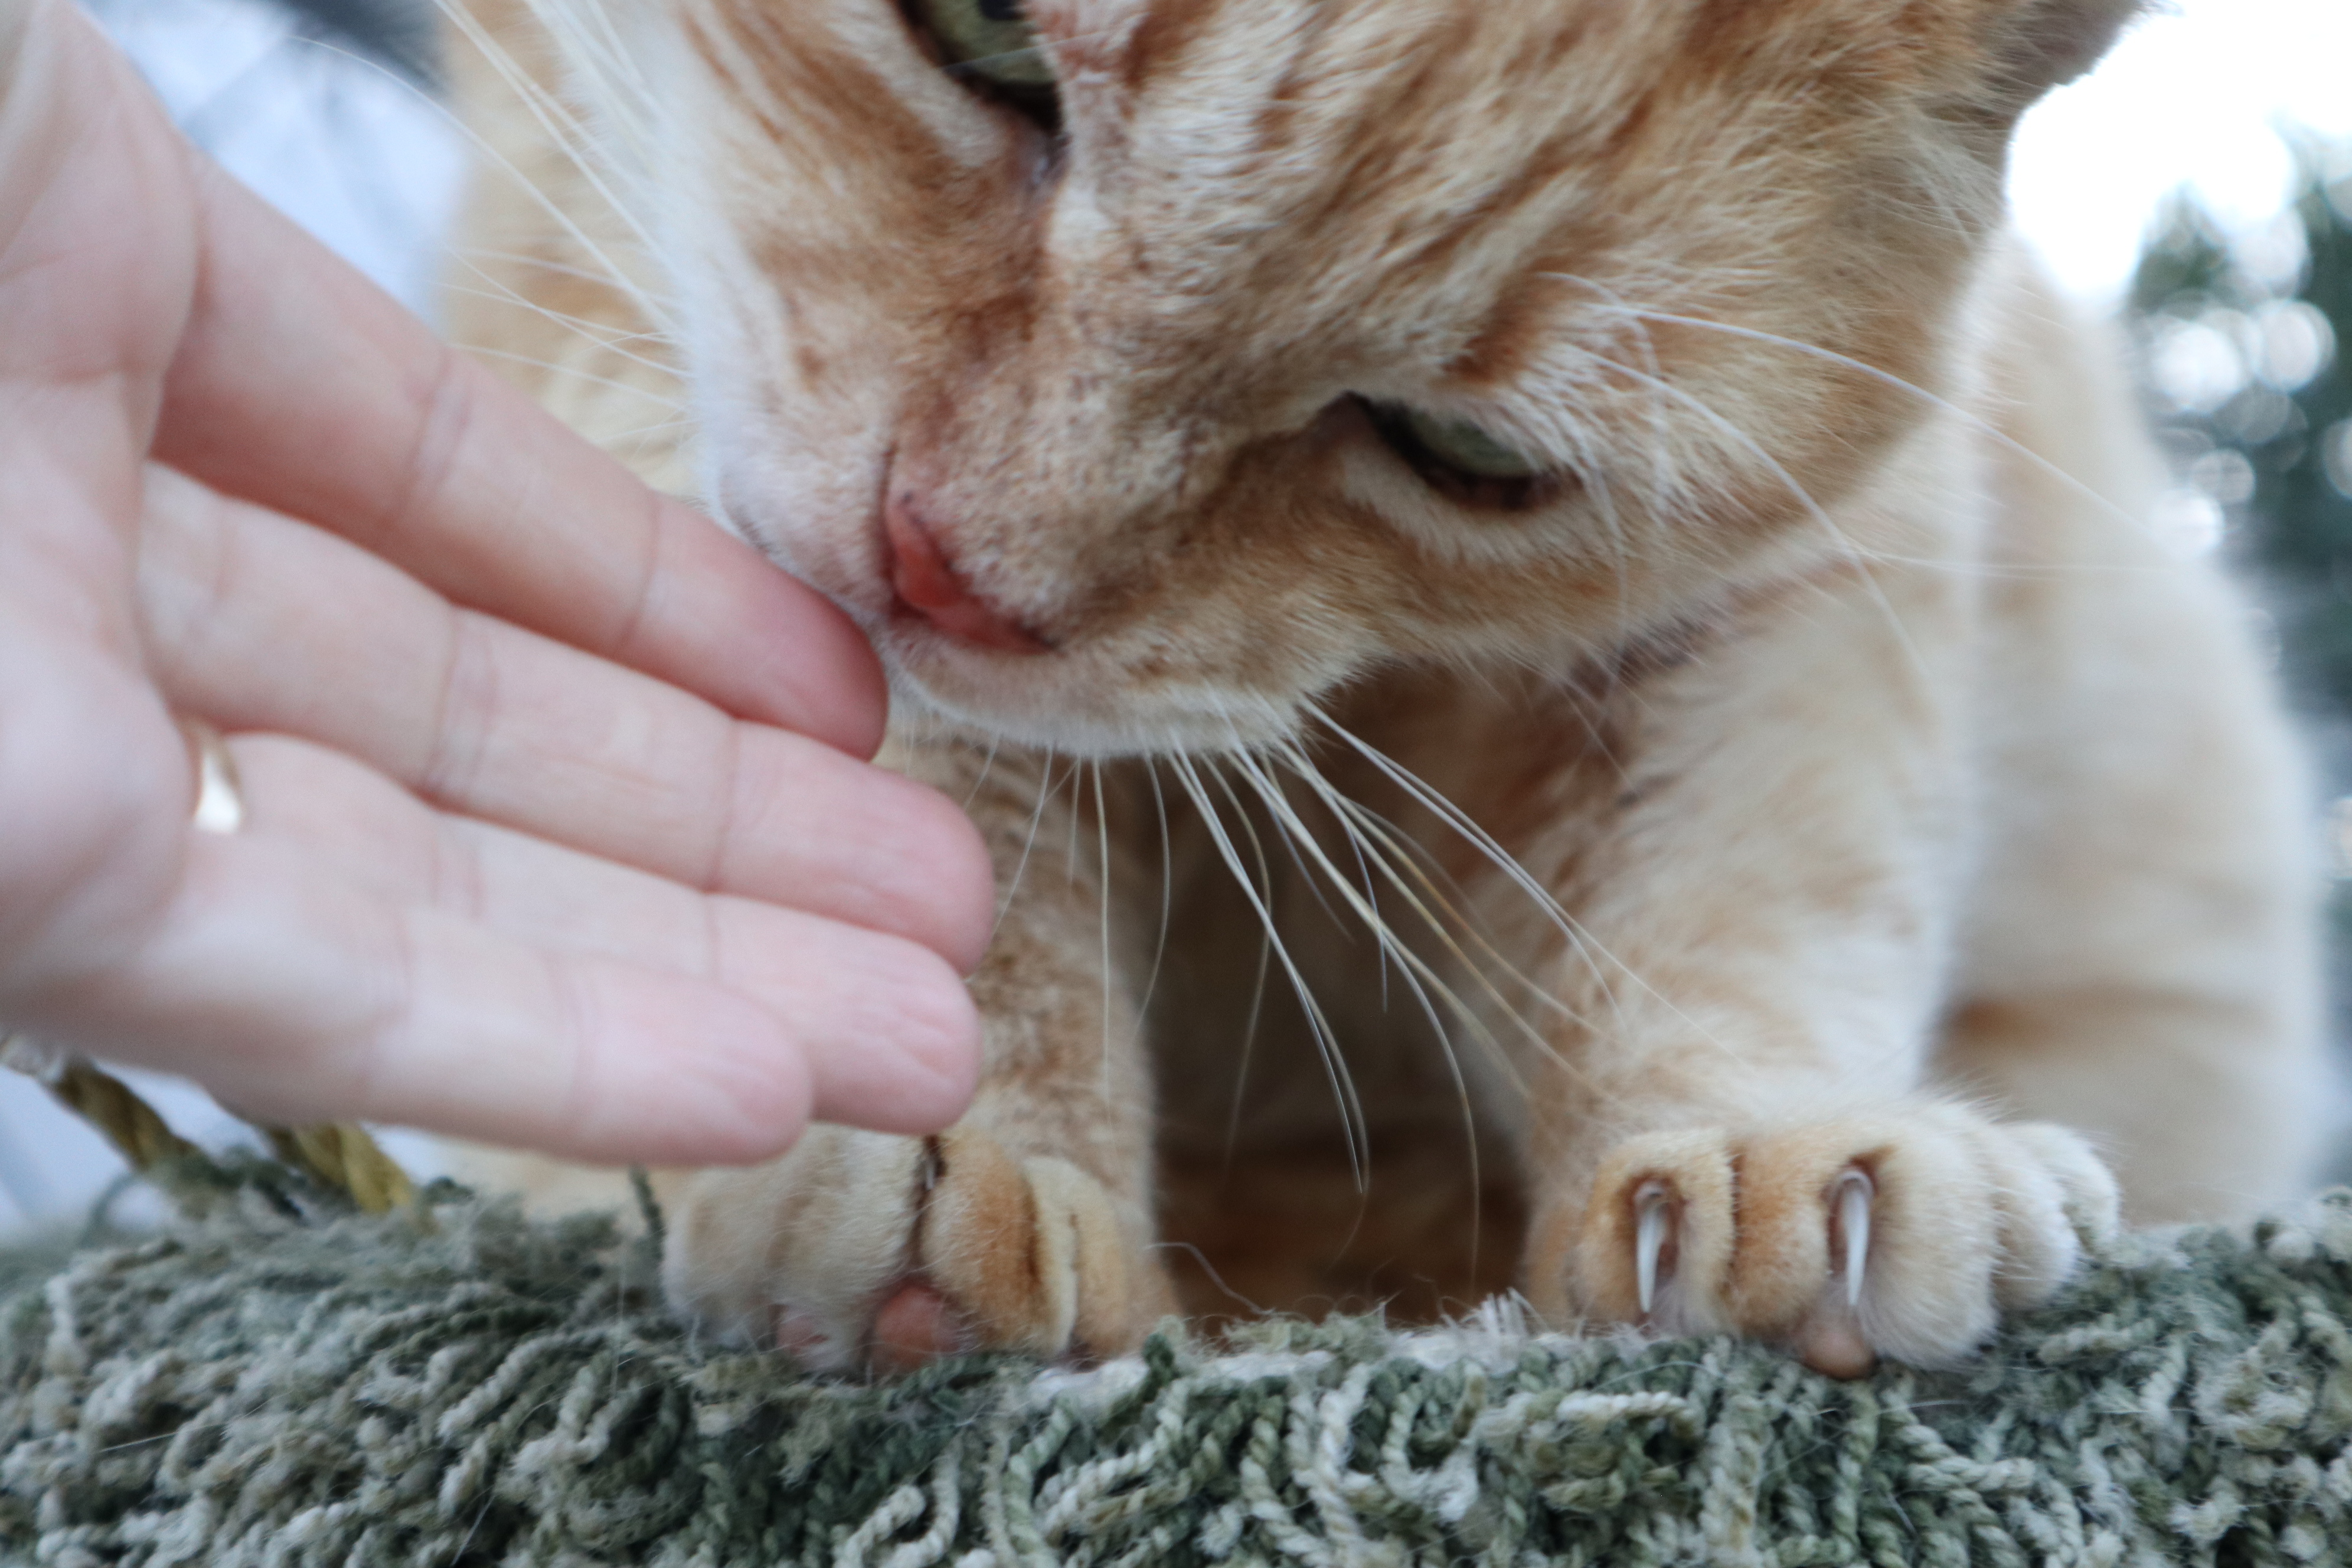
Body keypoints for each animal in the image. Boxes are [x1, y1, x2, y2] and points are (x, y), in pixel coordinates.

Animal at [444, 0, 2333, 1373]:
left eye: (1464, 453)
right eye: (981, 32)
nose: (943, 572)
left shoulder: (1782, 597)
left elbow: (1736, 904)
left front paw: (1772, 1157)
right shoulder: (634, 309)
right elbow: (942, 850)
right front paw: (952, 1158)